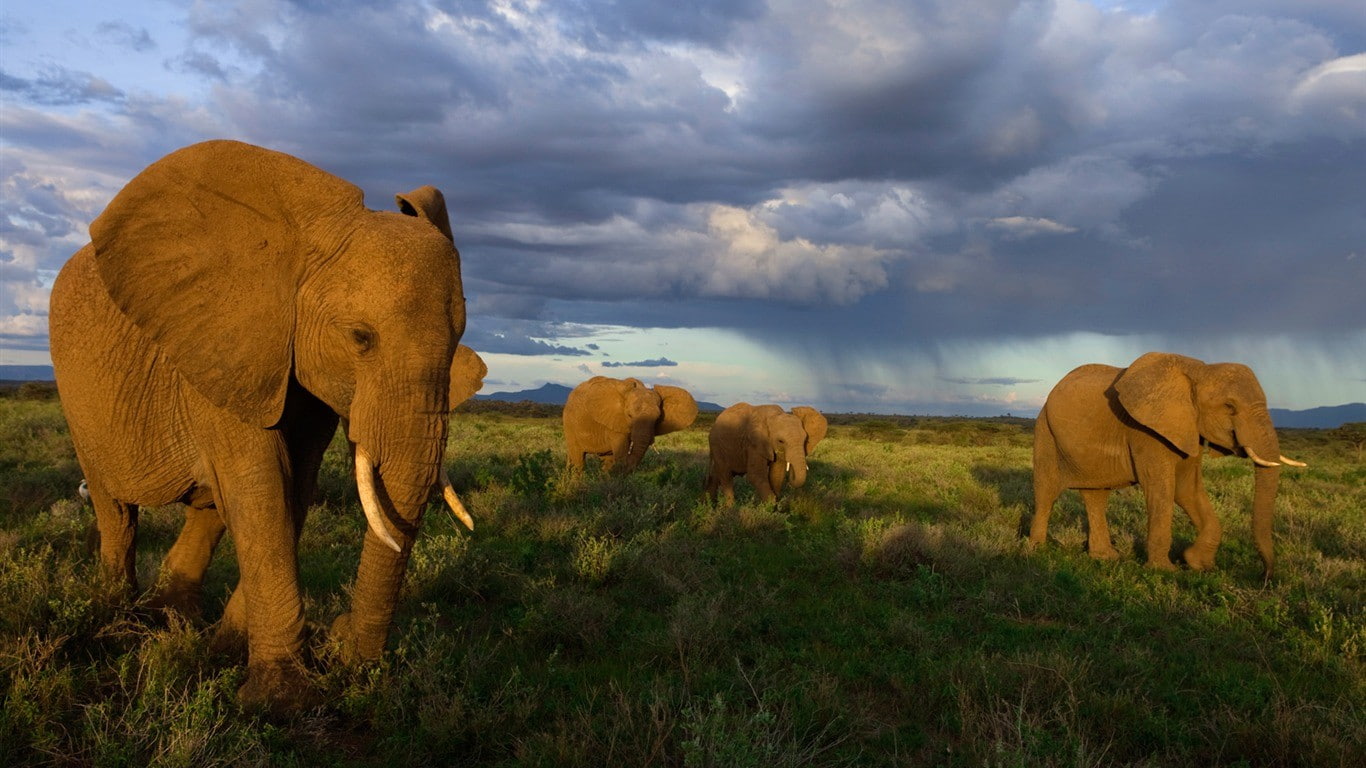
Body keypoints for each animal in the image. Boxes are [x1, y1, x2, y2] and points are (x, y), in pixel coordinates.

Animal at [49, 140, 471, 711]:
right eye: (360, 338)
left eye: (459, 340)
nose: (341, 641)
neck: (298, 250)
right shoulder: (223, 344)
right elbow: (262, 486)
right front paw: (280, 701)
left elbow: (293, 488)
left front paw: (232, 656)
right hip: (78, 401)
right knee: (115, 509)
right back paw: (117, 621)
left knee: (208, 509)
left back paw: (176, 622)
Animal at [562, 376, 698, 473]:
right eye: (629, 416)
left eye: (658, 418)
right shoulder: (615, 423)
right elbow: (620, 455)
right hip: (570, 425)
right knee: (578, 461)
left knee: (606, 461)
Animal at [1029, 352, 1306, 578]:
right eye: (1229, 406)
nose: (1264, 577)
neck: (1200, 370)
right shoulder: (1145, 431)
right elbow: (1161, 489)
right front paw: (1165, 571)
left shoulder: (1190, 428)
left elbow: (1187, 488)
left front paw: (1197, 564)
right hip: (1045, 432)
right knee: (1047, 492)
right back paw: (1036, 551)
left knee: (1096, 496)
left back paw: (1105, 558)